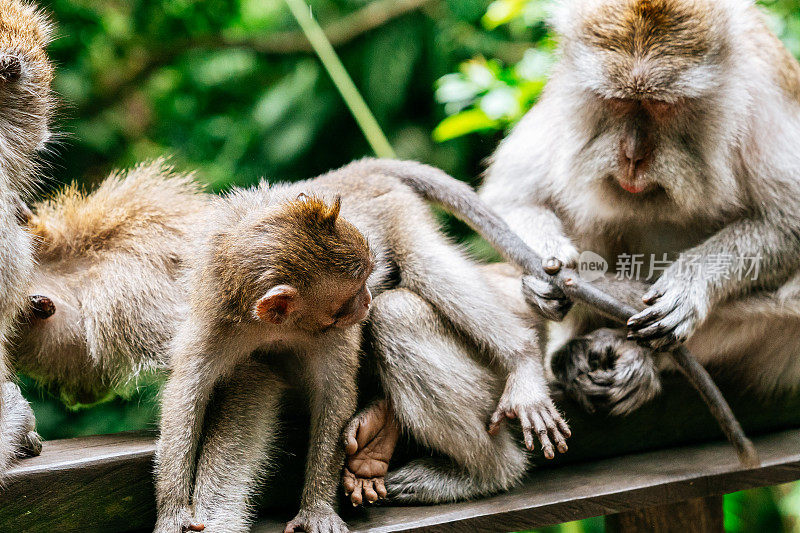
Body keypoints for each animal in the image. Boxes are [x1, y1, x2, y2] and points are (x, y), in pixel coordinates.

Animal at [156, 160, 568, 532]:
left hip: (397, 211)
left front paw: (317, 509)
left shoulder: (333, 335)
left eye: (365, 280)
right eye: (348, 297)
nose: (367, 299)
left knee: (412, 281)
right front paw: (173, 512)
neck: (274, 326)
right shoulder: (215, 320)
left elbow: (333, 395)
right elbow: (187, 395)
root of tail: (352, 172)